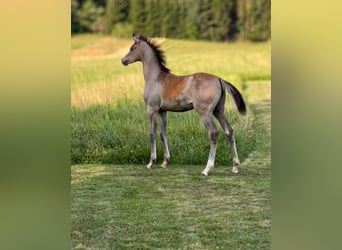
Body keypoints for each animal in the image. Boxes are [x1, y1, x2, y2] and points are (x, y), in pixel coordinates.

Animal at [120, 33, 246, 176]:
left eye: (132, 48)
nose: (123, 60)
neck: (155, 78)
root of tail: (219, 79)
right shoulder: (163, 111)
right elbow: (163, 134)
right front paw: (165, 162)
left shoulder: (152, 109)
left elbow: (152, 134)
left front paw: (151, 162)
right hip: (218, 111)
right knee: (229, 131)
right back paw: (235, 166)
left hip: (205, 113)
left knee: (213, 133)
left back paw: (206, 169)